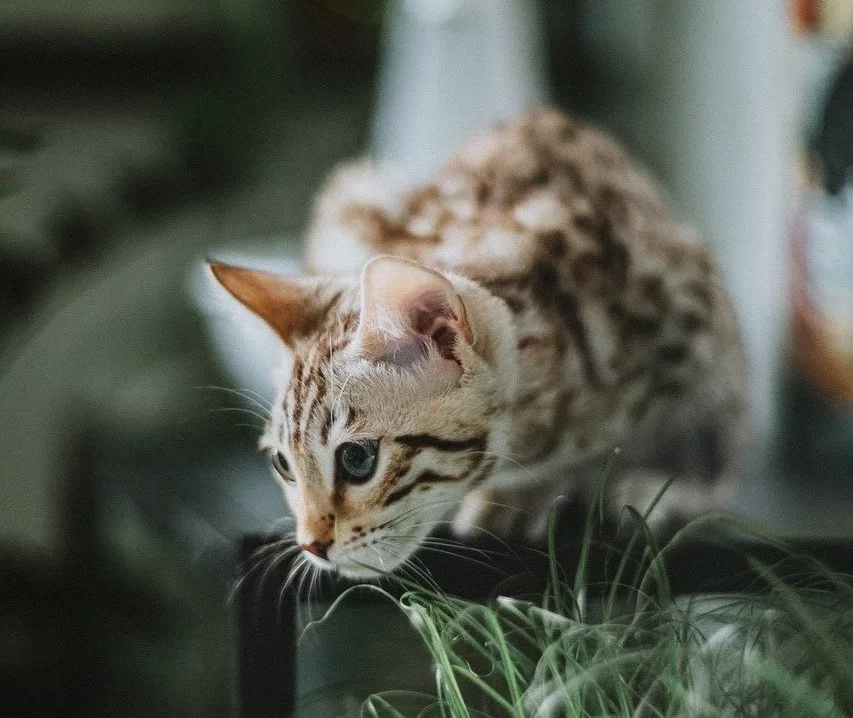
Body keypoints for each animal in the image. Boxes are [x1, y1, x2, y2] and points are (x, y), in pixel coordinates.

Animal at [211, 108, 744, 580]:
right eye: (282, 463)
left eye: (356, 460)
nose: (310, 545)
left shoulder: (695, 305)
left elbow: (722, 443)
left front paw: (677, 489)